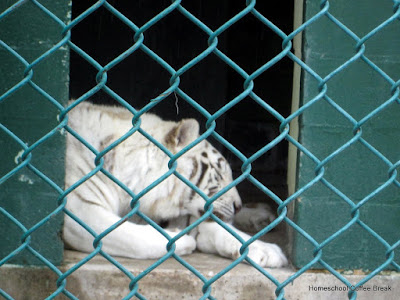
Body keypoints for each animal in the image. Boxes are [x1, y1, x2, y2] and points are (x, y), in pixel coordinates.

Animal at [63, 102, 288, 268]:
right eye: (218, 174)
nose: (238, 205)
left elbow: (218, 229)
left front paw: (267, 251)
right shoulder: (79, 209)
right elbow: (130, 237)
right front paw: (183, 242)